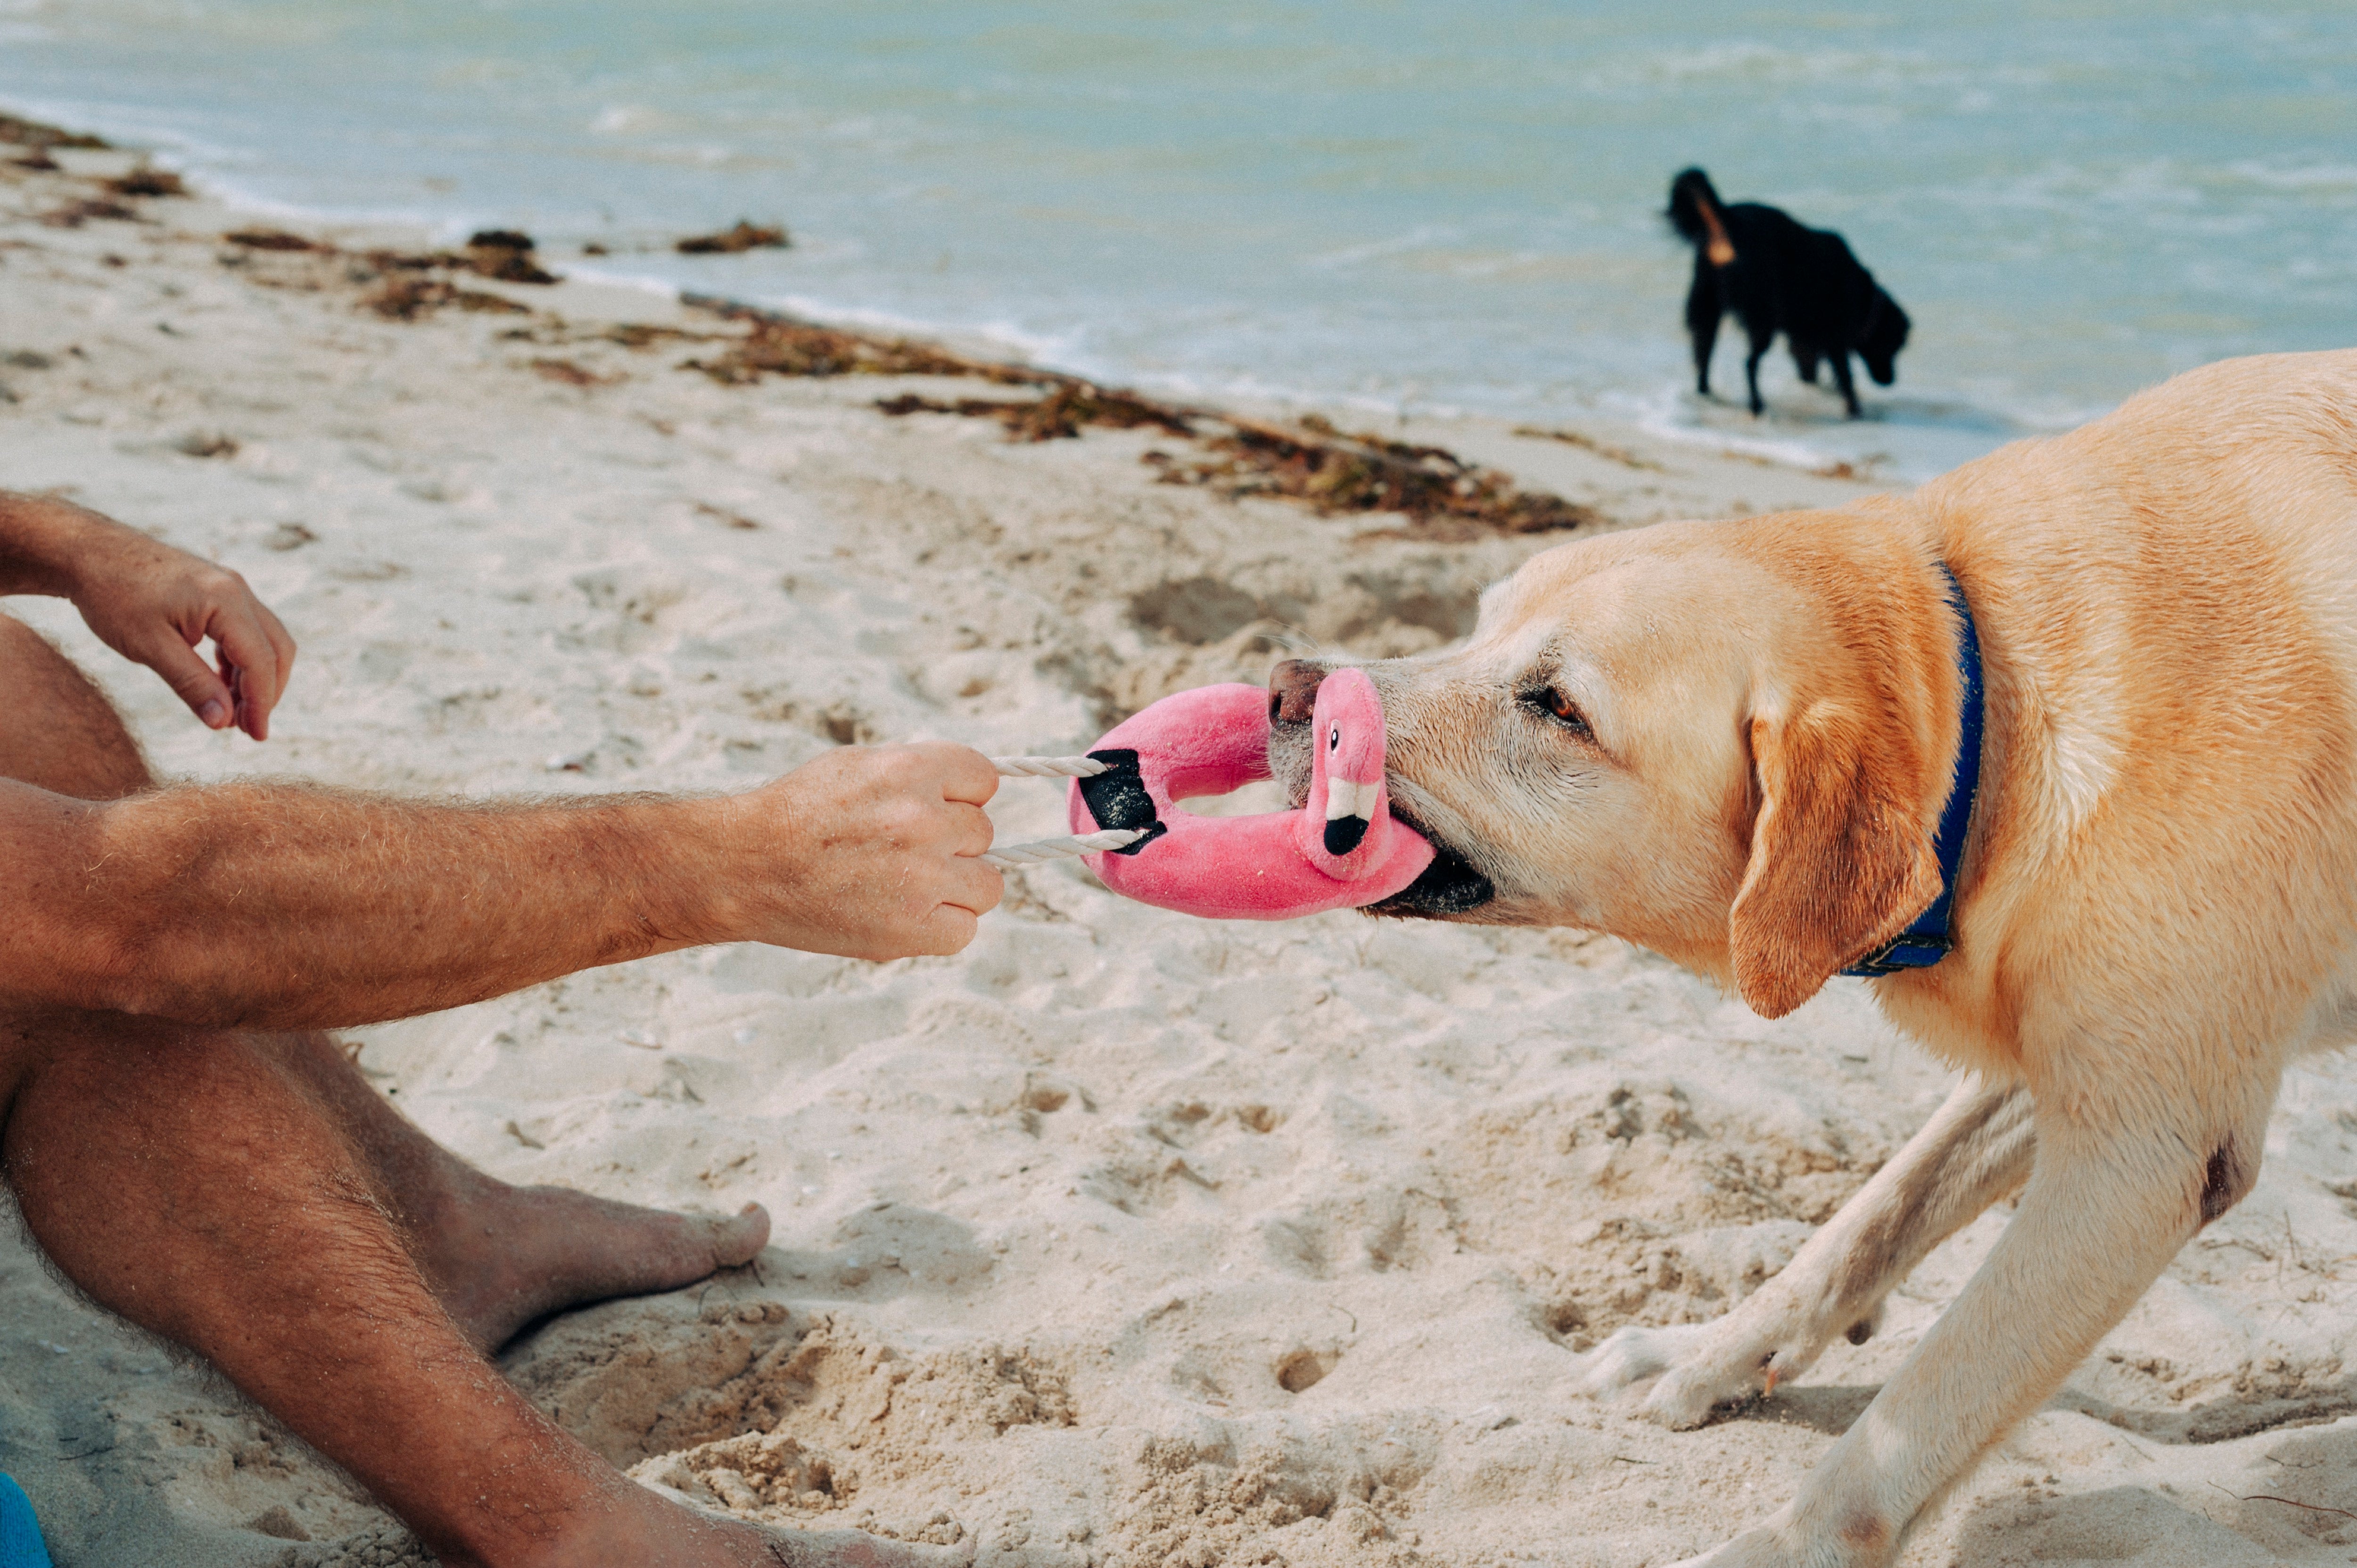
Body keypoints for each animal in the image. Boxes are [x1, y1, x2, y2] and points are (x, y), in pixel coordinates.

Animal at [1273, 349, 2357, 1556]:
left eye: (1556, 706)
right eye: (1475, 621)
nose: (1285, 692)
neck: (1991, 698)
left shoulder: (2144, 1155)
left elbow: (1919, 1407)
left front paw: (1776, 1547)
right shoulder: (2061, 1048)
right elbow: (1864, 1220)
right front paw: (1711, 1354)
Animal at [1669, 168, 1904, 419]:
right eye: (1895, 346)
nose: (1890, 381)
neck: (1865, 299)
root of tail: (1729, 220)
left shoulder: (1805, 340)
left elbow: (1811, 371)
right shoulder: (1835, 339)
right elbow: (1846, 378)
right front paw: (1854, 411)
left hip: (1707, 308)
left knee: (1703, 359)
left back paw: (1707, 395)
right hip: (1763, 319)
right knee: (1749, 364)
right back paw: (1757, 406)